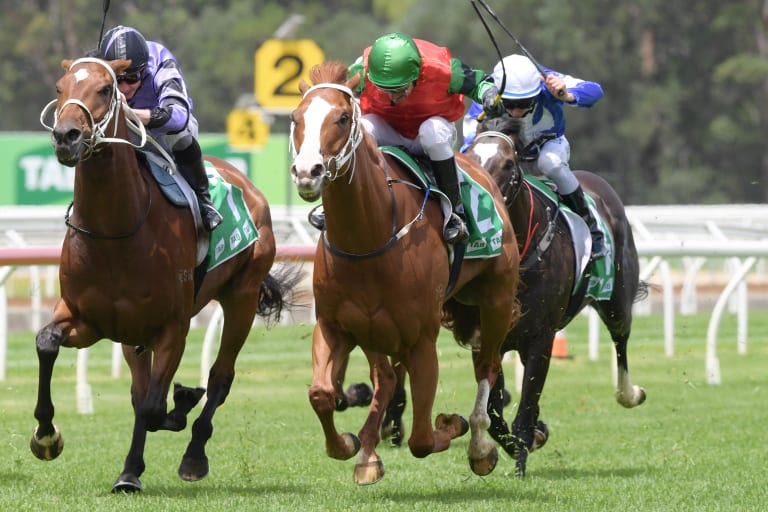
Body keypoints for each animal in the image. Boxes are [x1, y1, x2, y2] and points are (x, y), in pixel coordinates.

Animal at [30, 58, 294, 494]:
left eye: (105, 89)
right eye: (59, 86)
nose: (66, 136)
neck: (117, 230)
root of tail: (246, 183)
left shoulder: (172, 328)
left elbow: (155, 407)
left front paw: (182, 403)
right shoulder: (88, 319)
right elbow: (47, 343)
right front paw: (46, 436)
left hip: (242, 295)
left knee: (219, 378)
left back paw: (193, 454)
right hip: (132, 333)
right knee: (143, 390)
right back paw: (129, 472)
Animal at [288, 62, 520, 486]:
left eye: (342, 118)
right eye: (296, 118)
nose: (307, 172)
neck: (368, 238)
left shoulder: (421, 340)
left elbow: (423, 439)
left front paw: (454, 425)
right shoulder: (334, 326)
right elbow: (321, 394)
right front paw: (347, 445)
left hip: (495, 300)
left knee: (487, 366)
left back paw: (480, 445)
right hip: (375, 330)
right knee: (386, 379)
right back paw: (367, 453)